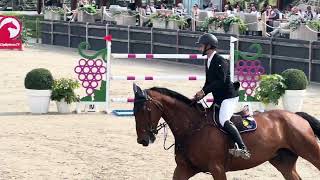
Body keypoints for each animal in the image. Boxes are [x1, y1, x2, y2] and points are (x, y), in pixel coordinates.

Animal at [132, 83, 320, 179]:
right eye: (133, 110)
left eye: (145, 110)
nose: (143, 140)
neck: (192, 127)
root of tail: (296, 116)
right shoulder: (184, 169)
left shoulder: (217, 169)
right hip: (283, 161)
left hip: (310, 151)